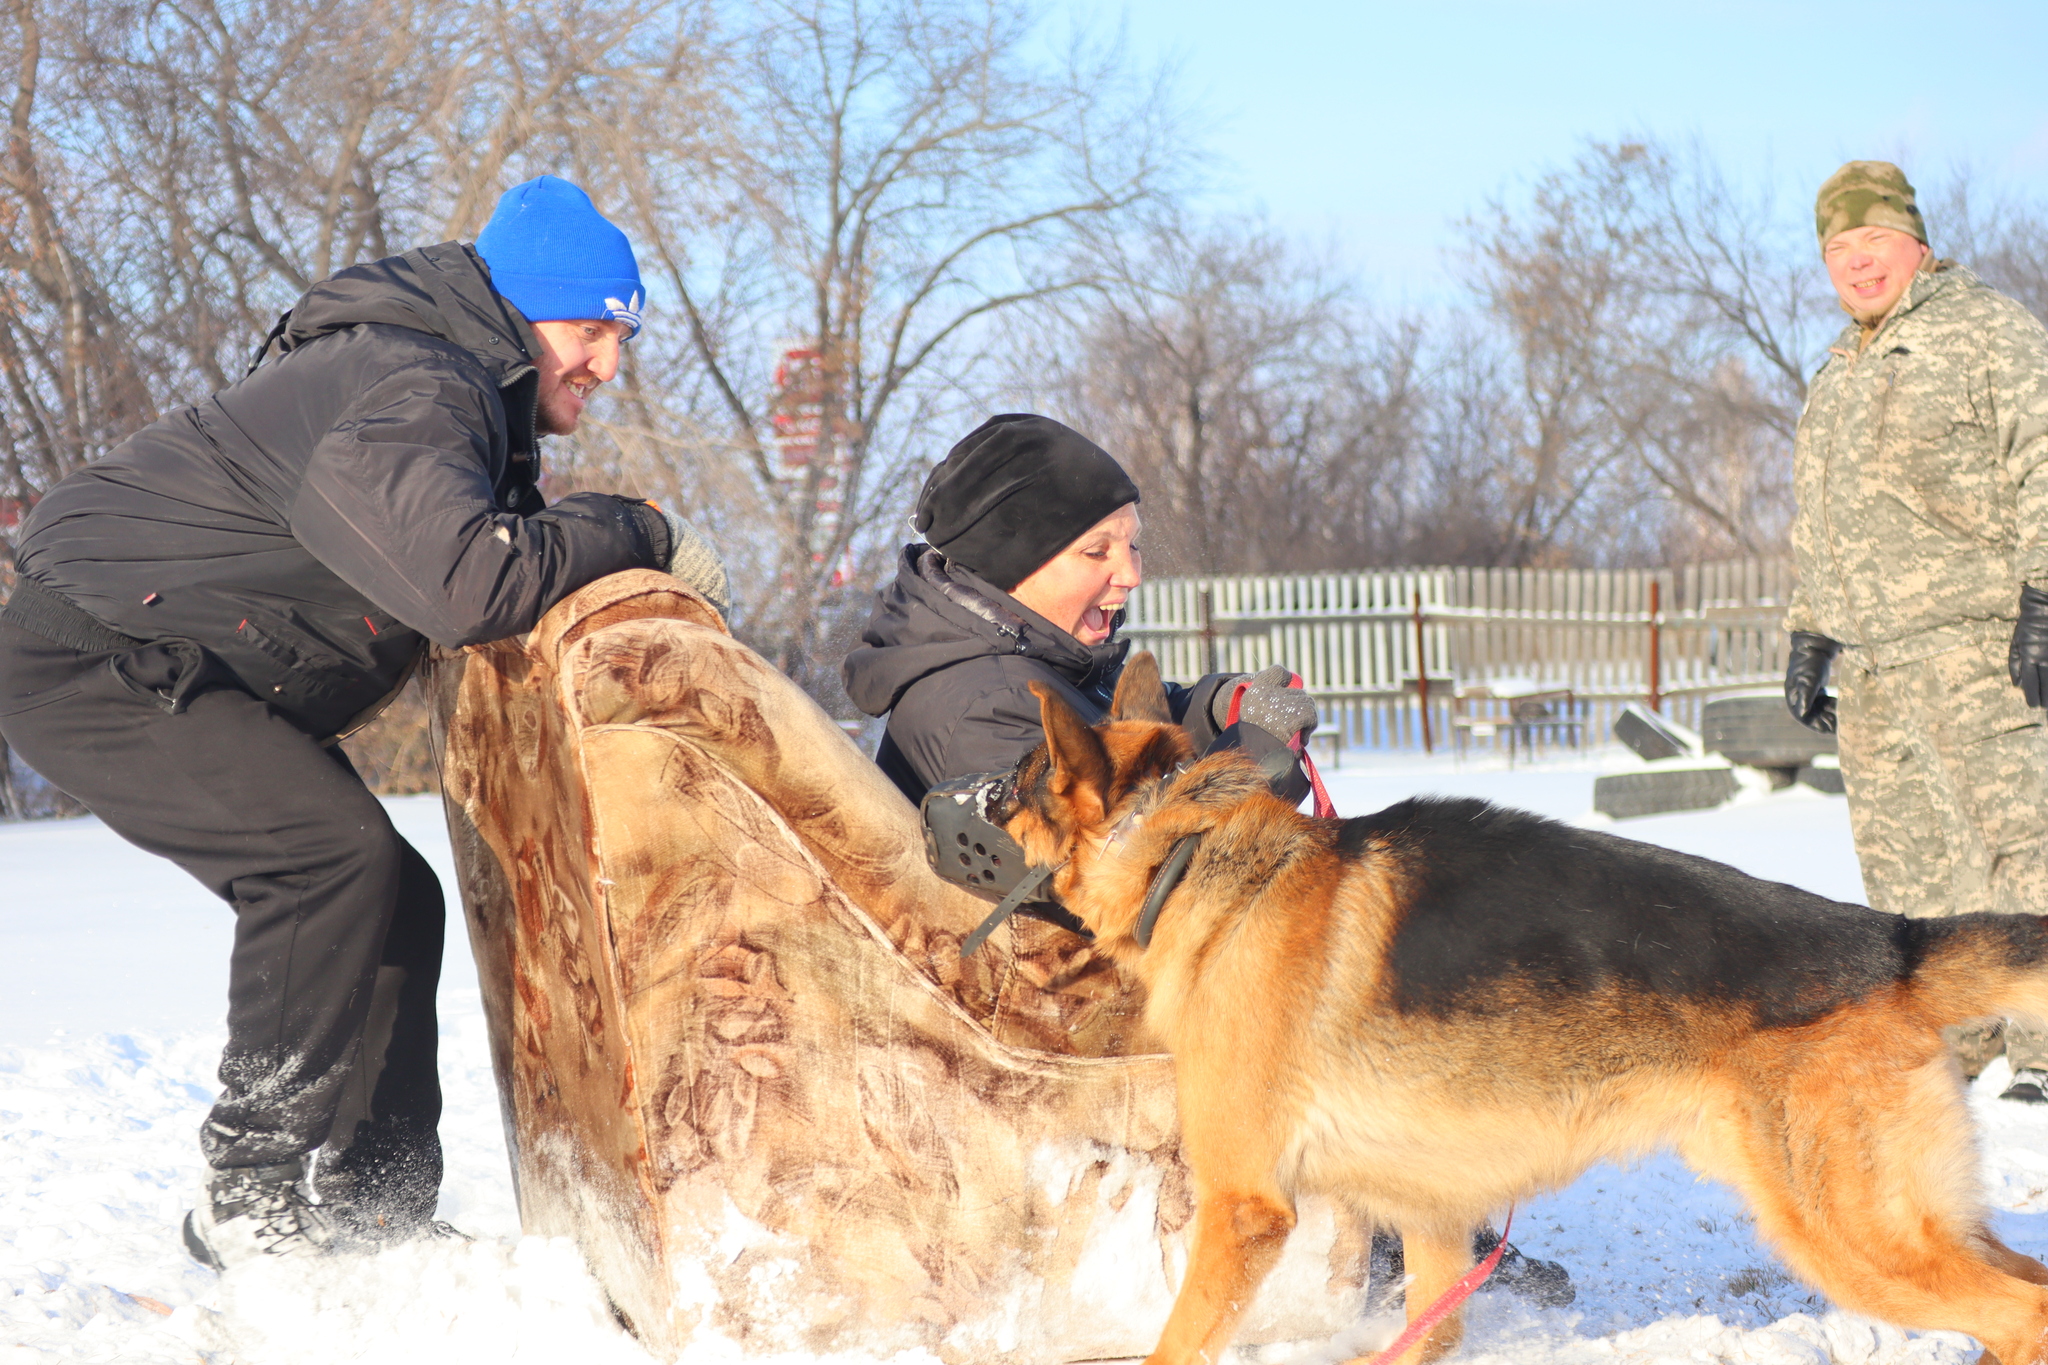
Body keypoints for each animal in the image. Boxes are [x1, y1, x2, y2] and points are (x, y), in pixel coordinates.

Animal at [999, 654, 2048, 1365]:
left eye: (1018, 785)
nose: (966, 794)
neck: (1194, 855)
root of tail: (1895, 943)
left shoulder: (1243, 1207)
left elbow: (1179, 1340)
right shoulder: (1429, 1210)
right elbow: (1422, 1330)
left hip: (1854, 1239)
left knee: (2021, 1313)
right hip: (1913, 1226)